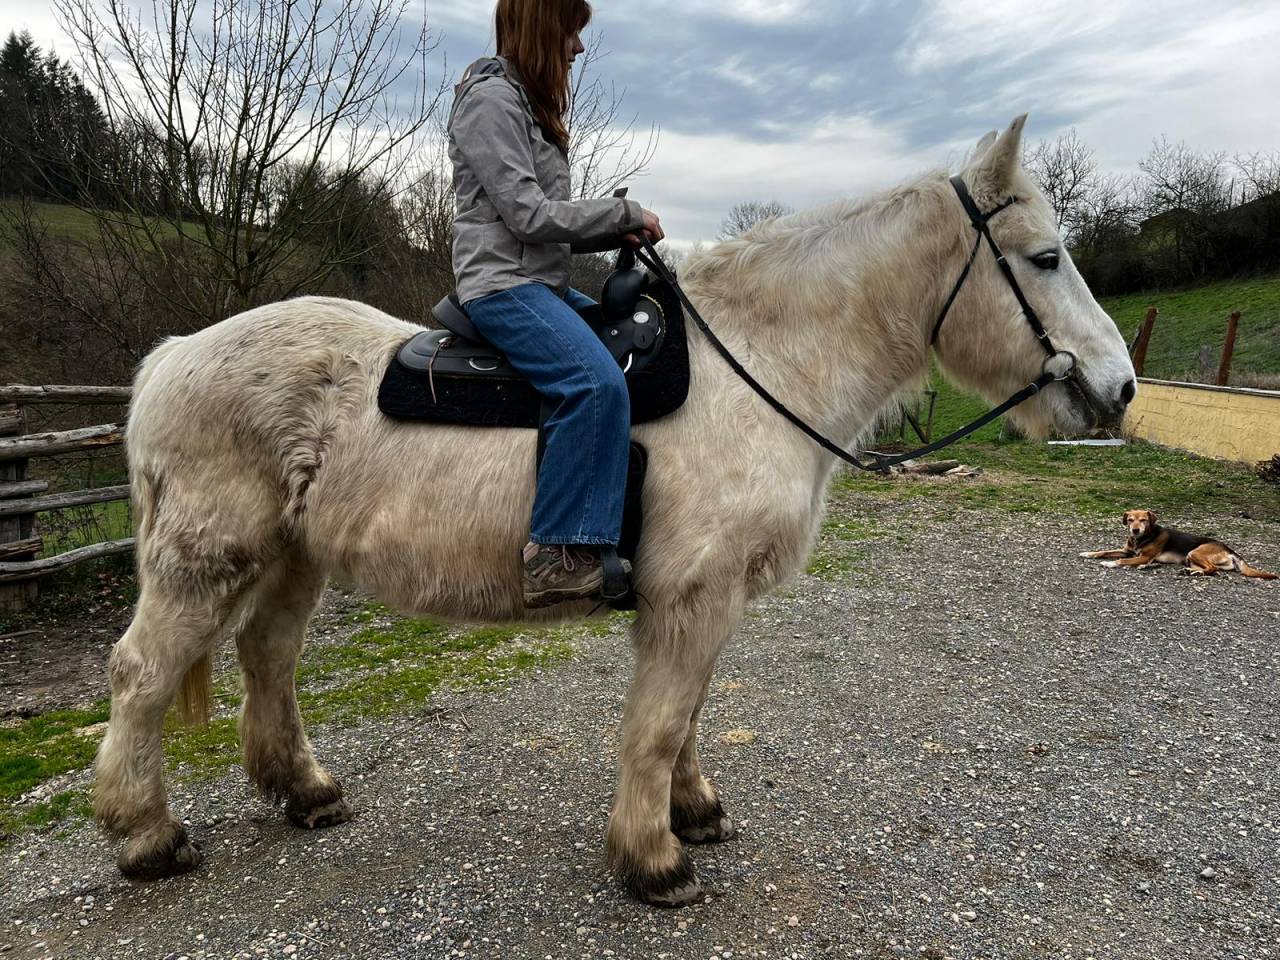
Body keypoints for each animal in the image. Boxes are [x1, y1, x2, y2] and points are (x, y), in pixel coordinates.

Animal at [93, 115, 1136, 906]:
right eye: (1045, 257)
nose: (1119, 389)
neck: (757, 364)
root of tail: (172, 356)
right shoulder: (691, 597)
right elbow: (662, 723)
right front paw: (653, 860)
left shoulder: (704, 602)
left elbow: (690, 713)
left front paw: (693, 813)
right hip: (205, 561)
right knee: (142, 676)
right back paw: (147, 835)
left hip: (291, 557)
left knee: (268, 657)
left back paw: (305, 790)